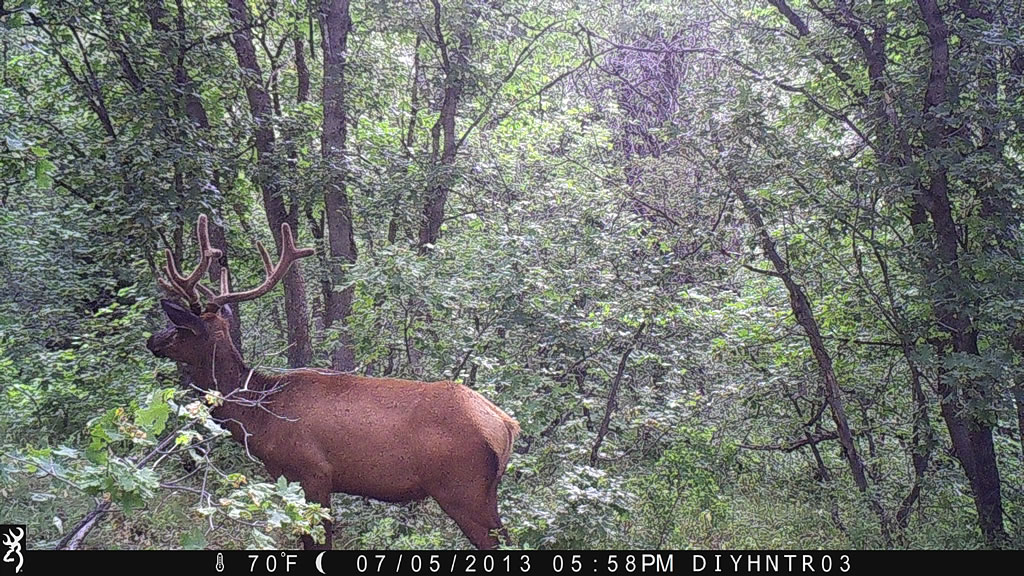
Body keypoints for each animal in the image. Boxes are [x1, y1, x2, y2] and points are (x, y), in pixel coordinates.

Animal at [146, 215, 520, 550]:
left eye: (179, 327)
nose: (152, 340)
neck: (260, 414)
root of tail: (505, 425)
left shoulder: (312, 472)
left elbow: (316, 540)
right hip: (482, 490)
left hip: (462, 488)